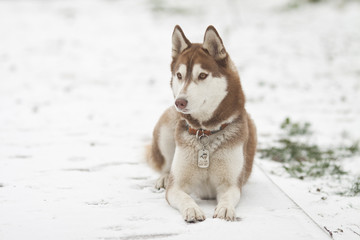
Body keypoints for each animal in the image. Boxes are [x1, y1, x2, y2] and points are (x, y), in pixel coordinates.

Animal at [146, 25, 256, 222]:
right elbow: (183, 196)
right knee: (166, 166)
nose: (179, 102)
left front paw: (225, 209)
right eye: (179, 75)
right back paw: (164, 177)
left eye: (203, 75)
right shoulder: (177, 185)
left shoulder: (231, 184)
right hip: (166, 127)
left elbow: (228, 196)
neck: (206, 132)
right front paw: (192, 209)